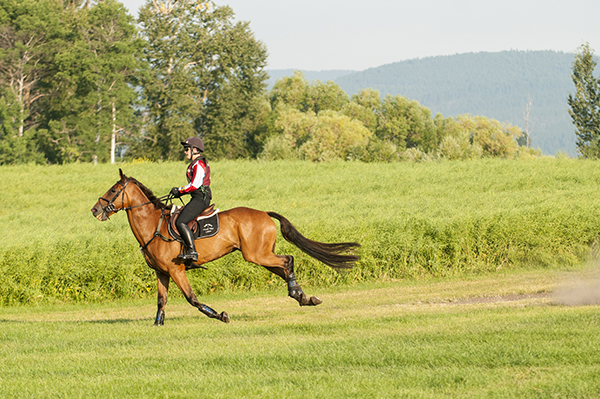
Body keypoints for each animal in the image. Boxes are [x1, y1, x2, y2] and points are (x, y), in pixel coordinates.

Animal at [91, 170, 358, 326]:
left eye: (113, 190)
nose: (95, 210)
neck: (154, 225)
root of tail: (264, 213)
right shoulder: (161, 272)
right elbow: (160, 301)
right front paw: (157, 325)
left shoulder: (177, 270)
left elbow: (192, 299)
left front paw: (220, 315)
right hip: (261, 255)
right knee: (284, 267)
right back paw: (303, 297)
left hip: (257, 255)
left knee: (287, 260)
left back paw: (300, 295)